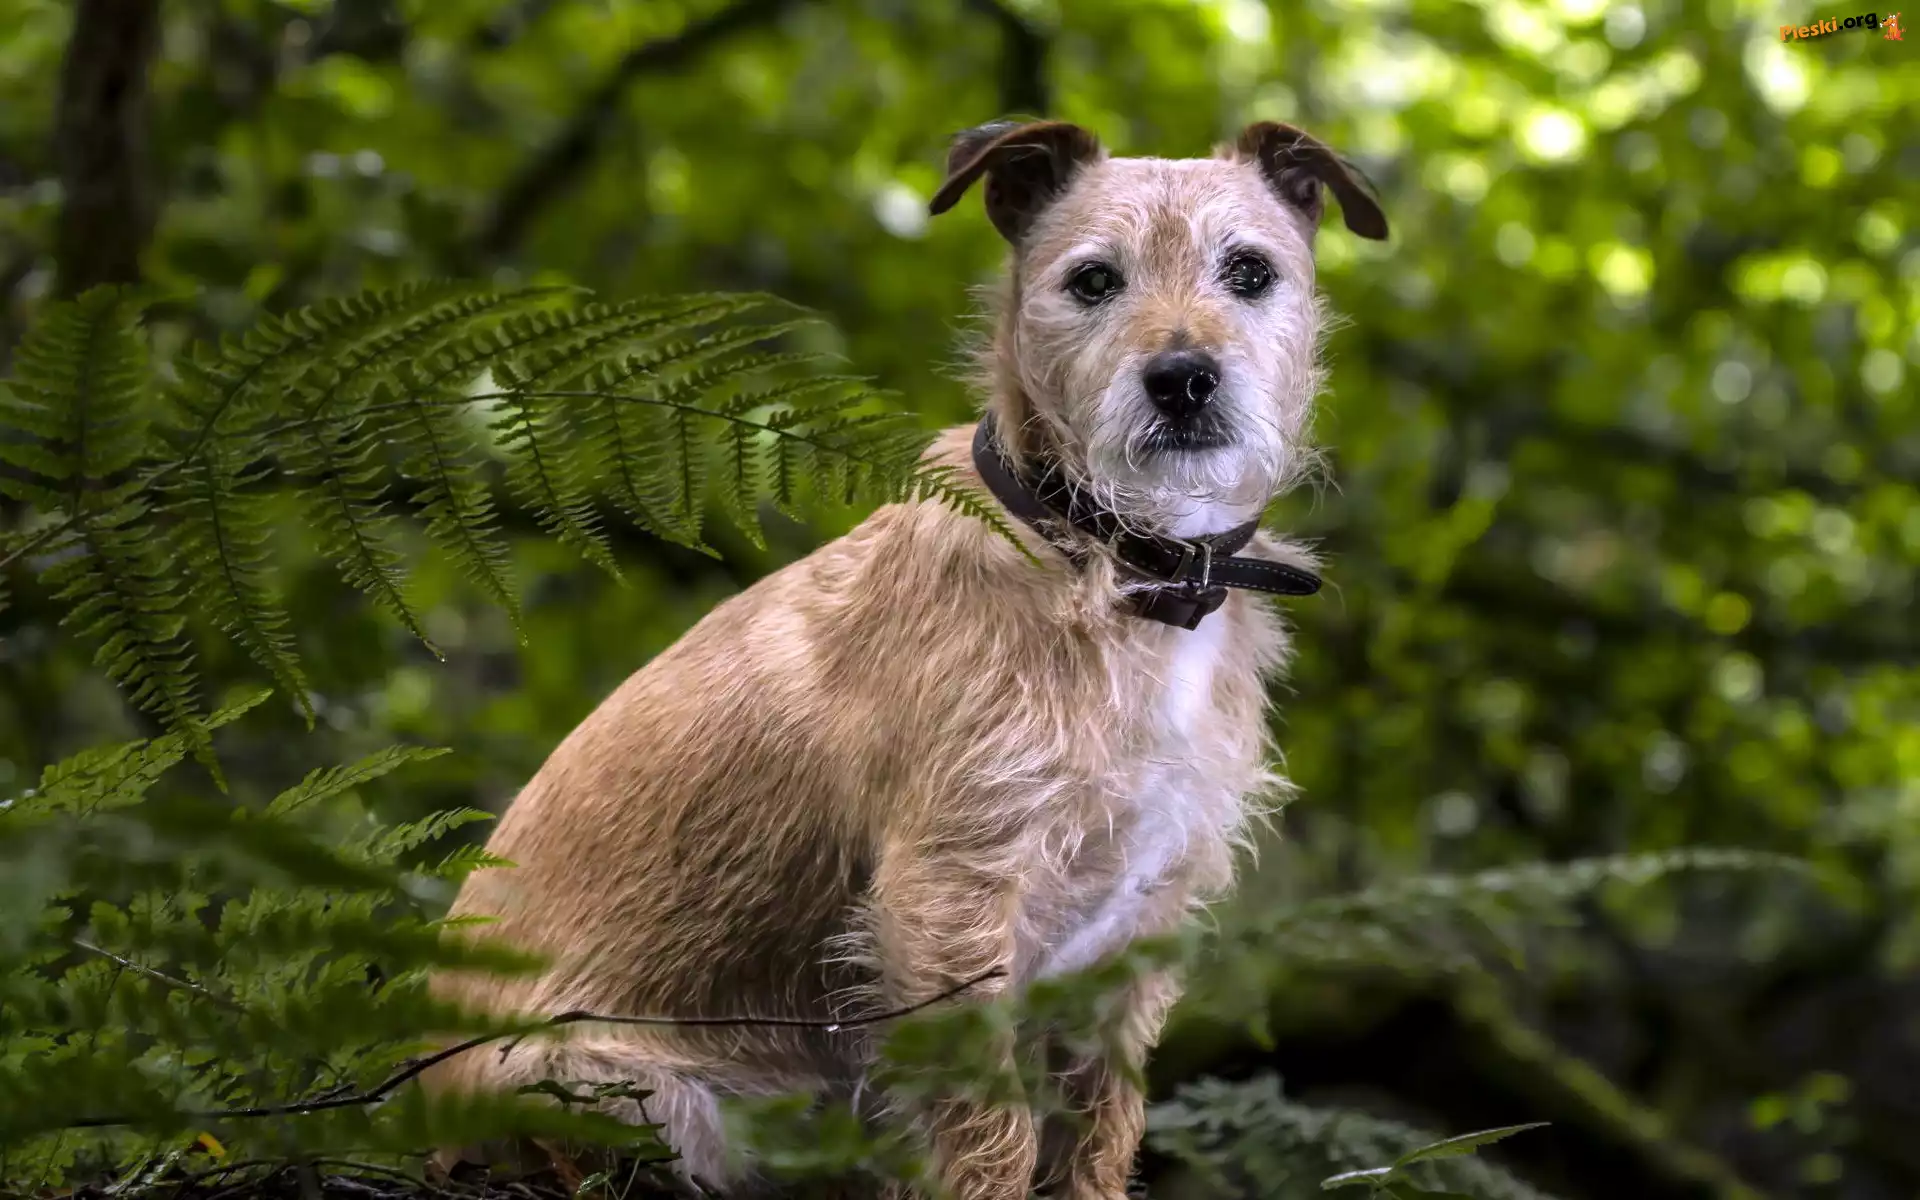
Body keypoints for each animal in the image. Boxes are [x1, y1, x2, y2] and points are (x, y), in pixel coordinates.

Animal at [425, 117, 1387, 1199]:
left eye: (1249, 271)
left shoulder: (1138, 935)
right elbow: (992, 1134)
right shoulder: (946, 905)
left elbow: (1098, 1131)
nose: (1182, 377)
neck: (1118, 567)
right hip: (638, 1100)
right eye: (1094, 280)